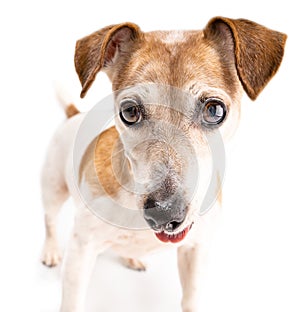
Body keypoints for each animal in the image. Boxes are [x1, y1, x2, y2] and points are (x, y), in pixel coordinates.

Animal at [39, 17, 286, 312]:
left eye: (214, 110)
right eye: (130, 111)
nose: (164, 214)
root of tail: (74, 114)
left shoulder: (195, 252)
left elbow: (190, 298)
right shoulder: (81, 249)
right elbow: (73, 300)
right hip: (53, 188)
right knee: (50, 221)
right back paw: (51, 251)